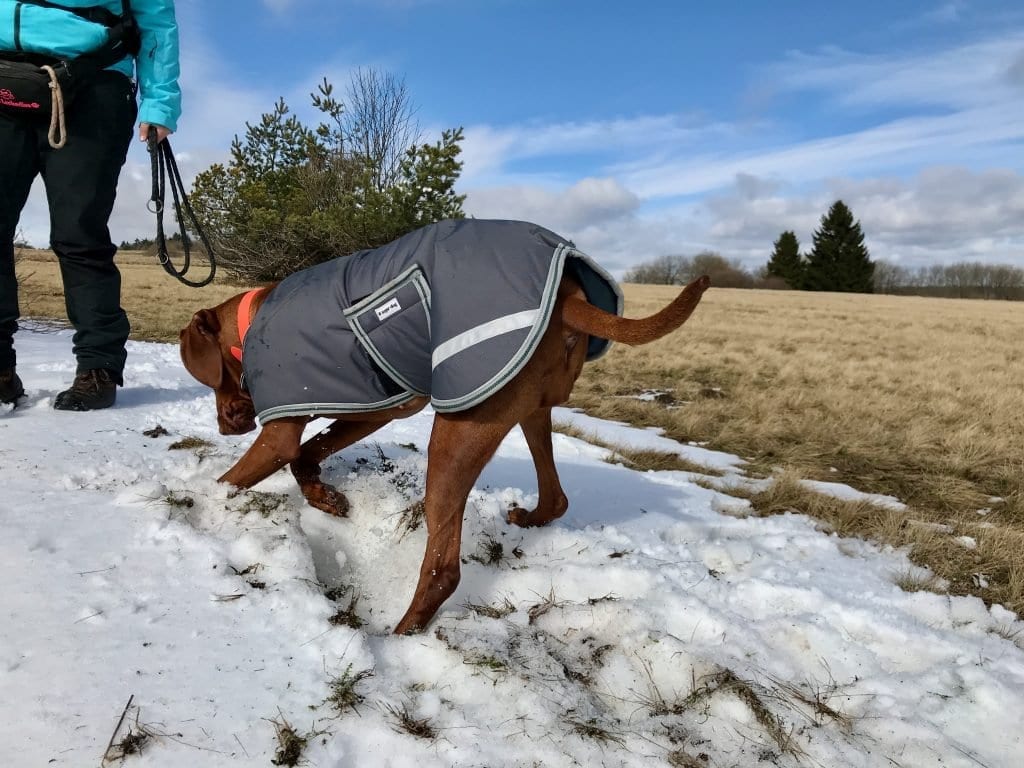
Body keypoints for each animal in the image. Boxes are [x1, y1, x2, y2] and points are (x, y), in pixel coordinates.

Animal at [180, 219, 708, 634]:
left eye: (216, 377)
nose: (225, 428)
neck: (253, 322)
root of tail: (568, 299)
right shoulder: (373, 407)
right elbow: (310, 454)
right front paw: (326, 499)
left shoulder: (279, 433)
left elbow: (240, 475)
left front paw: (205, 501)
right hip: (527, 409)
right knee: (555, 496)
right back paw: (529, 518)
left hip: (457, 432)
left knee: (443, 569)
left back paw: (400, 634)